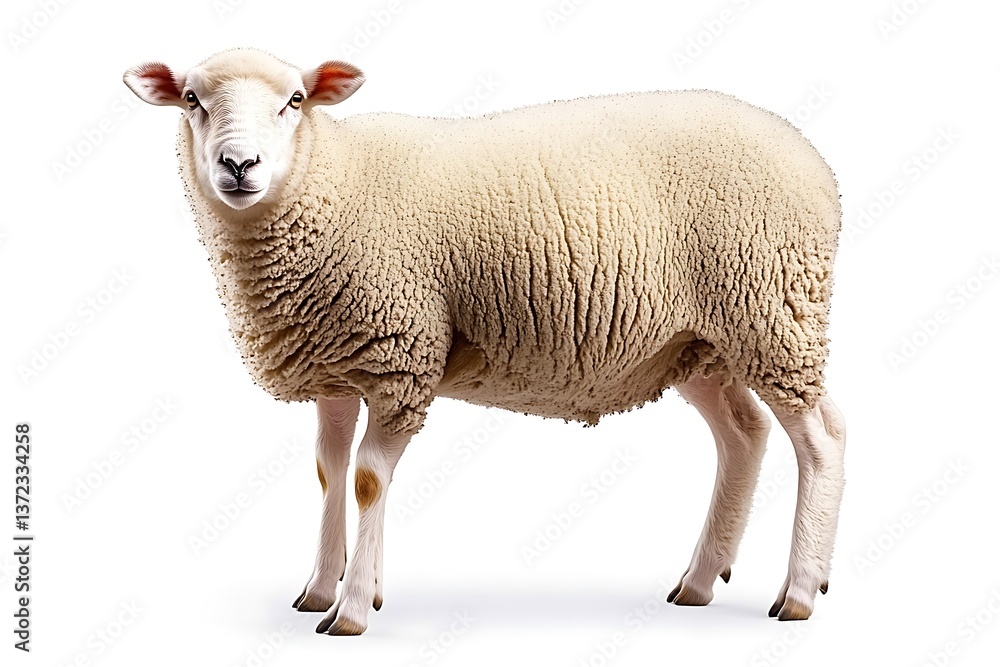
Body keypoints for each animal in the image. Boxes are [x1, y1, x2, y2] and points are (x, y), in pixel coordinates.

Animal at [124, 48, 847, 635]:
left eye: (294, 101)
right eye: (193, 99)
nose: (238, 165)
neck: (331, 180)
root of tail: (812, 159)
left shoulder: (400, 356)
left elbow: (367, 478)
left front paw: (352, 609)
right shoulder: (338, 366)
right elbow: (331, 471)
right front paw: (323, 588)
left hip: (773, 312)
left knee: (821, 439)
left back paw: (799, 591)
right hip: (700, 340)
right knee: (743, 435)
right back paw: (698, 580)